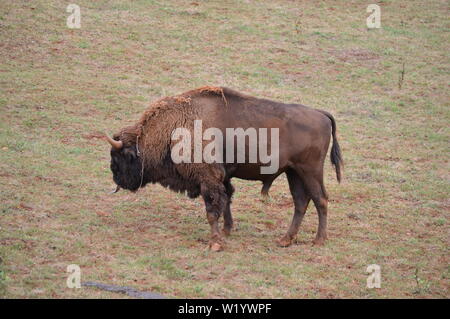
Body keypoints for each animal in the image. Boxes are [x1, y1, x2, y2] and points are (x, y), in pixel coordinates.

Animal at [104, 86, 344, 251]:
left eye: (121, 157)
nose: (117, 179)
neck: (173, 129)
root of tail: (321, 114)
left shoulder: (208, 179)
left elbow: (212, 210)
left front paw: (215, 243)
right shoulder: (223, 177)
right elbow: (227, 199)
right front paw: (228, 231)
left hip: (310, 171)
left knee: (320, 199)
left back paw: (318, 240)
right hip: (293, 172)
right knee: (301, 202)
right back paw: (285, 239)